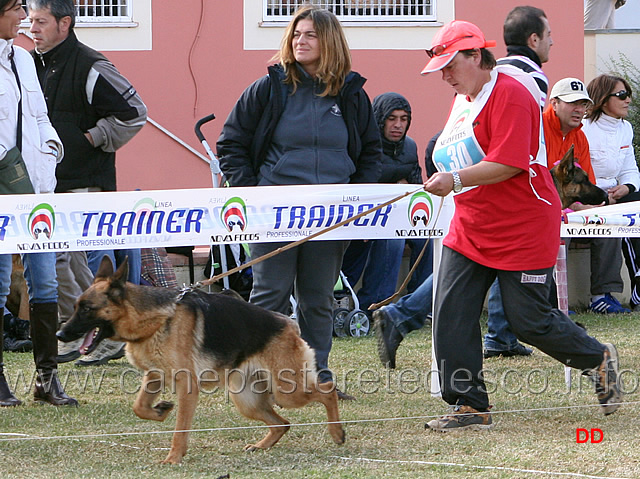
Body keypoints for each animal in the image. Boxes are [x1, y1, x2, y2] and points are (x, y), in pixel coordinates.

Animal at [55, 258, 344, 464]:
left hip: (287, 391)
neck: (154, 319)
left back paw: (337, 433)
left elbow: (180, 428)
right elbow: (139, 407)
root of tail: (289, 324)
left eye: (87, 309)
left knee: (327, 391)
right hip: (248, 400)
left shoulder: (187, 386)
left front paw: (174, 458)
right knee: (283, 423)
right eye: (76, 306)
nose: (60, 334)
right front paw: (160, 410)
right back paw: (261, 445)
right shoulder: (155, 375)